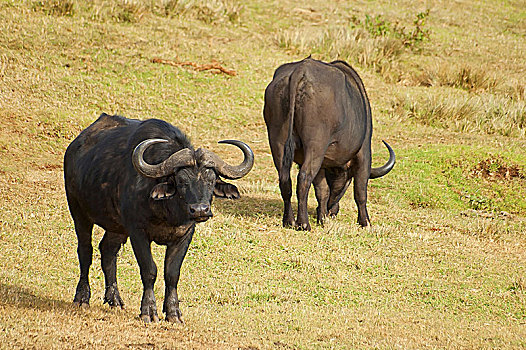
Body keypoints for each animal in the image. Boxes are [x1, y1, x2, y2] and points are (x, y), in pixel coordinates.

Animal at [65, 113, 255, 322]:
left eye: (211, 180)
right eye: (181, 181)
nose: (200, 210)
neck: (168, 212)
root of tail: (74, 147)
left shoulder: (184, 235)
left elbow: (172, 273)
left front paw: (173, 313)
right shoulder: (138, 232)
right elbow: (149, 270)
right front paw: (148, 310)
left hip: (116, 226)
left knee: (108, 251)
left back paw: (114, 299)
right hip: (78, 211)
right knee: (85, 251)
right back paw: (82, 297)